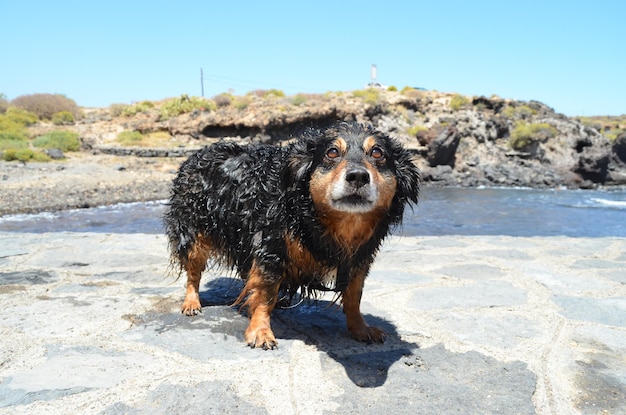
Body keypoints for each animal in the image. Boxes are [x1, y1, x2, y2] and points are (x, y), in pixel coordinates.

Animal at [165, 122, 420, 350]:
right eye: (332, 152)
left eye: (377, 152)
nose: (357, 176)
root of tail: (199, 153)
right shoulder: (270, 248)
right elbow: (265, 293)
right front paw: (260, 331)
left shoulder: (359, 258)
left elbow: (353, 295)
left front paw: (360, 328)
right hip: (193, 234)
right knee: (194, 272)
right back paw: (192, 302)